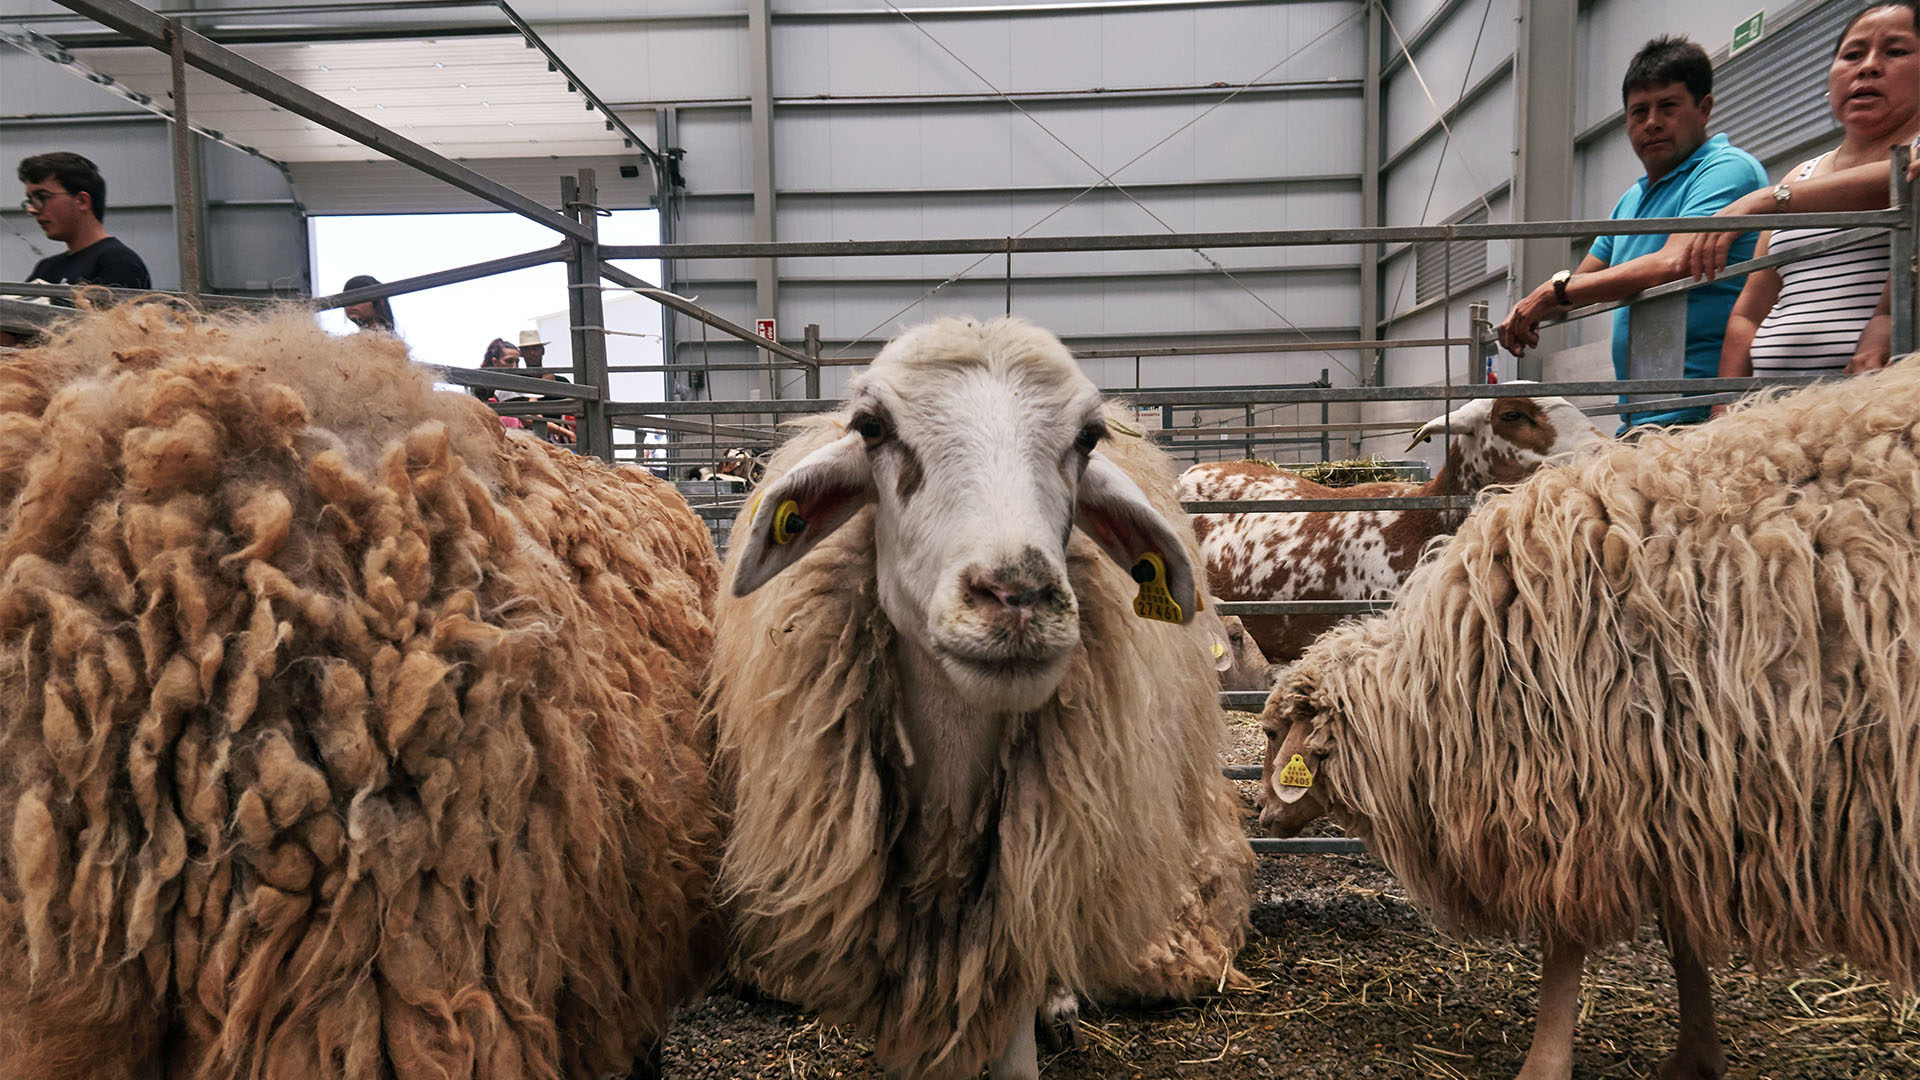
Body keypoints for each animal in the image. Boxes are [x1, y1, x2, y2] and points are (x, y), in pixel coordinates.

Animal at [1259, 361, 1920, 1076]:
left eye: (1272, 735)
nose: (1262, 816)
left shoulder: (1582, 790)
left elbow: (1568, 945)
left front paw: (1546, 1062)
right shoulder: (1676, 797)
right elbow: (1680, 933)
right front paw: (1695, 1052)